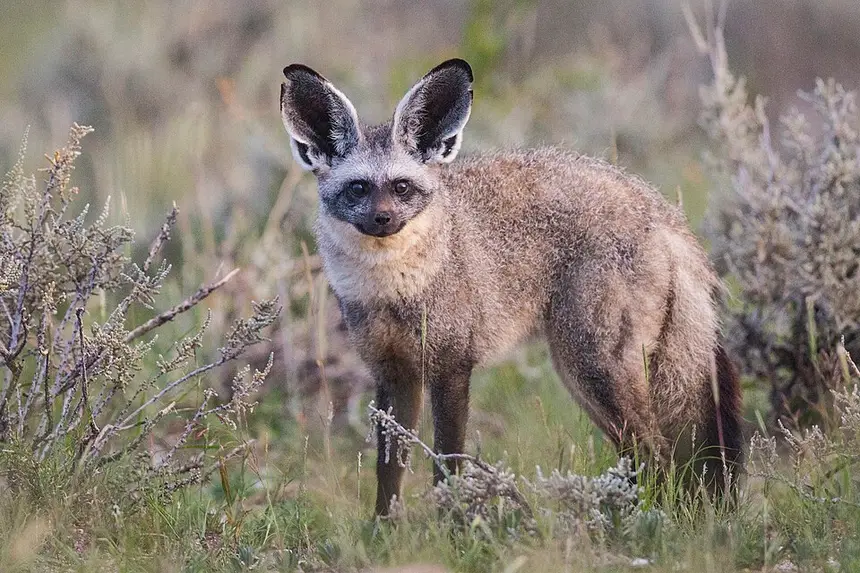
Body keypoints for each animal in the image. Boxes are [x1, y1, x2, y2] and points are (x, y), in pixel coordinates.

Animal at [278, 58, 743, 516]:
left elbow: (448, 465)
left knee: (656, 454)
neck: (393, 291)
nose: (383, 219)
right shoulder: (394, 374)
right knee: (644, 458)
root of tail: (659, 208)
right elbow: (389, 474)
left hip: (592, 369)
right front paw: (383, 530)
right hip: (589, 378)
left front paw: (452, 524)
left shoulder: (451, 368)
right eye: (358, 188)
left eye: (401, 187)